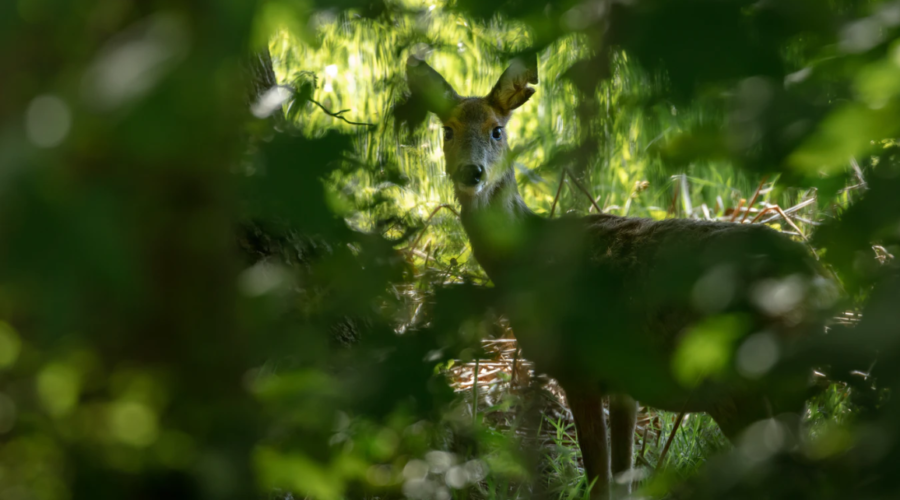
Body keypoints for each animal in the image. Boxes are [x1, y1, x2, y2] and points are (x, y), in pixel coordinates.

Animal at [408, 56, 828, 498]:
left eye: (497, 129)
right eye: (447, 130)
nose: (471, 173)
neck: (524, 257)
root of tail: (812, 277)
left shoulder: (578, 369)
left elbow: (600, 481)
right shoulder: (624, 382)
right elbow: (623, 476)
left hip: (737, 379)